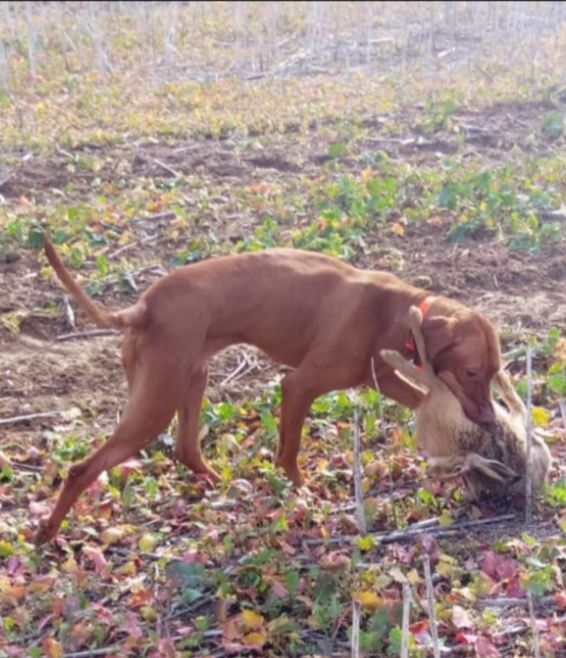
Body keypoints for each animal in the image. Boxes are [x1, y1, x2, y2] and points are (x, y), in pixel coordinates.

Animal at [36, 238, 502, 540]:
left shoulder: (380, 379)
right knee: (82, 468)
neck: (397, 309)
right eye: (472, 373)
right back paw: (48, 532)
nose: (490, 420)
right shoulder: (298, 386)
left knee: (186, 448)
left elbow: (421, 399)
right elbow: (289, 452)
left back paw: (221, 483)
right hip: (158, 400)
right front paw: (302, 493)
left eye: (494, 373)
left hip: (190, 379)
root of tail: (142, 307)